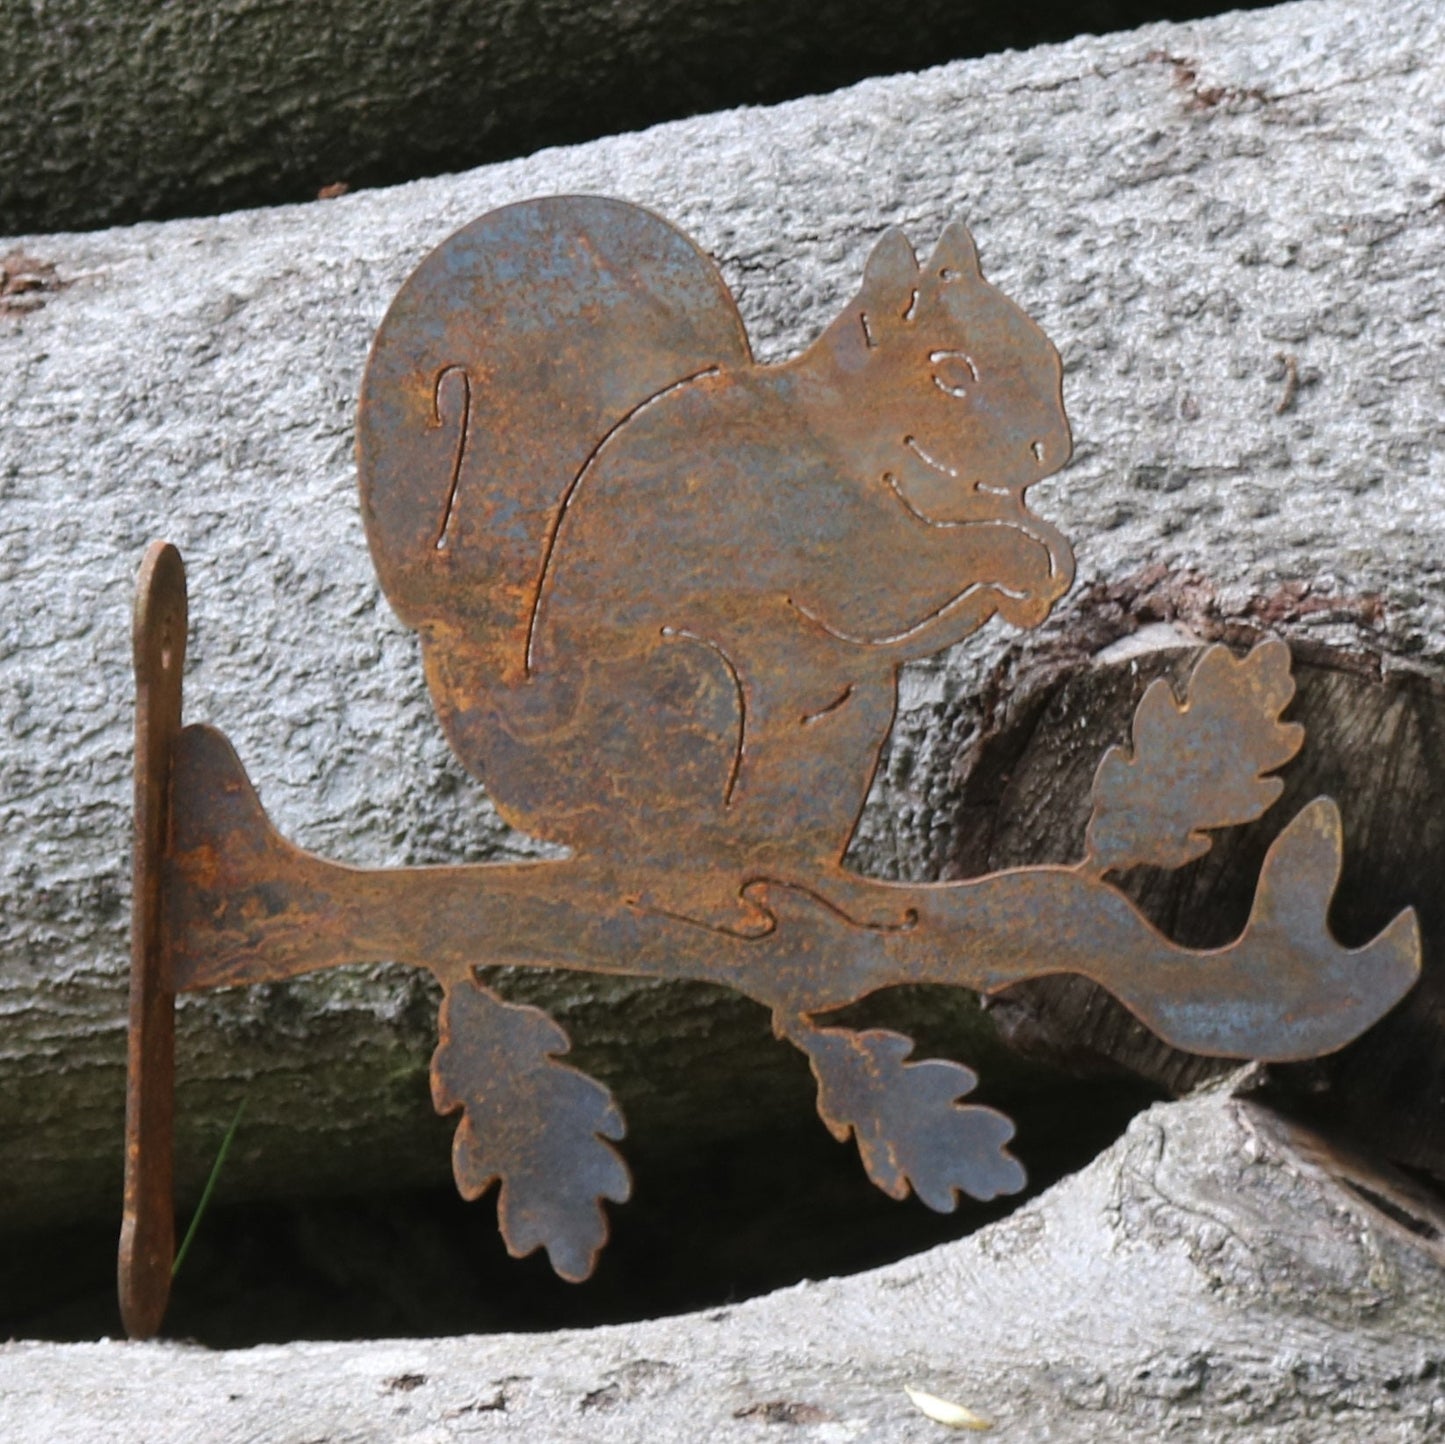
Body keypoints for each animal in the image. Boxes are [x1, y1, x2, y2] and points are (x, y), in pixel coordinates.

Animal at [357, 196, 1074, 929]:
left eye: (1045, 356)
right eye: (949, 371)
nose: (1053, 449)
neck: (843, 429)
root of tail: (532, 754)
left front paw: (1042, 561)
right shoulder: (813, 516)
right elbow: (888, 580)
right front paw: (1013, 557)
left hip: (842, 735)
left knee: (776, 852)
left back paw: (846, 896)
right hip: (686, 694)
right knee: (650, 867)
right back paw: (712, 908)